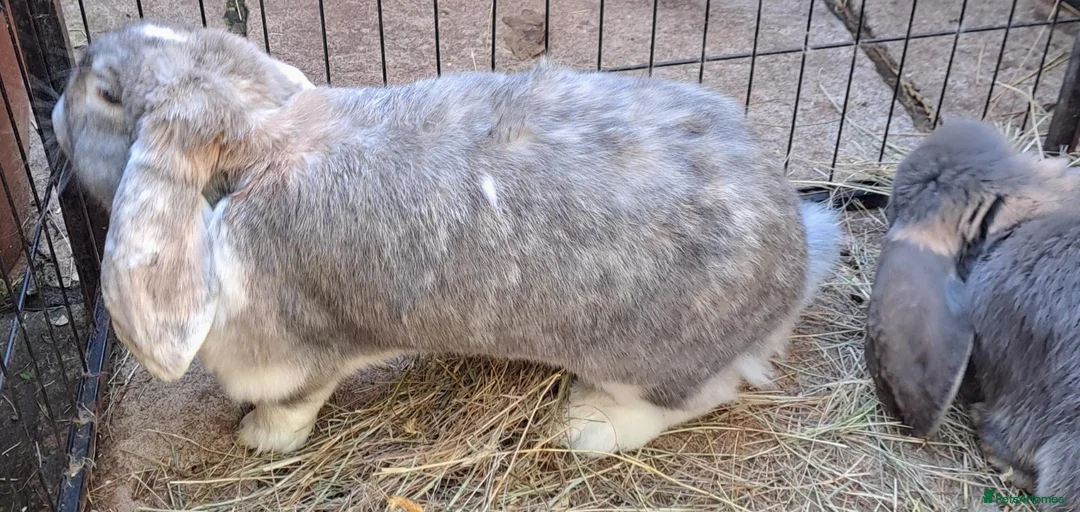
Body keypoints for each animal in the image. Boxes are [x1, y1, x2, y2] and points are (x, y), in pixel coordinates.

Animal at [52, 21, 842, 455]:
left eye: (108, 96)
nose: (65, 87)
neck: (259, 141)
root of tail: (796, 260)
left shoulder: (296, 356)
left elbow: (295, 401)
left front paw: (258, 437)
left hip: (649, 360)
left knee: (704, 392)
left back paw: (586, 425)